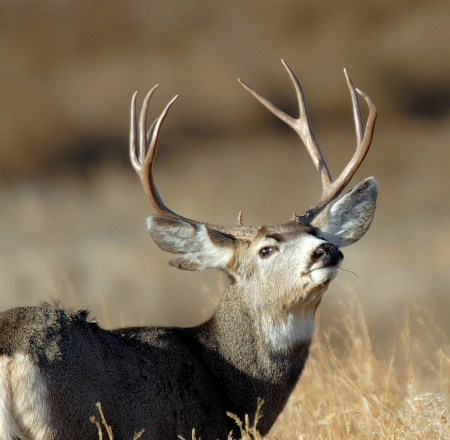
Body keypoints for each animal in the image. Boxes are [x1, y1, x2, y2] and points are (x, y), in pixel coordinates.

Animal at [0, 60, 376, 438]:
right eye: (265, 250)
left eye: (313, 232)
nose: (326, 250)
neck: (227, 379)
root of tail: (13, 346)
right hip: (70, 425)